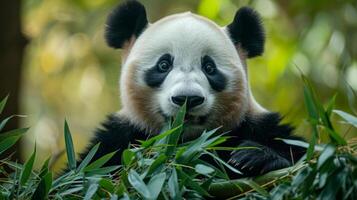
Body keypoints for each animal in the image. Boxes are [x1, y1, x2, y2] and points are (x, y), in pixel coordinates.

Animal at [79, 0, 304, 178]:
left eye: (209, 67)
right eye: (164, 65)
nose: (187, 98)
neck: (186, 142)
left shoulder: (257, 126)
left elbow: (294, 151)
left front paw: (253, 157)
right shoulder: (119, 139)